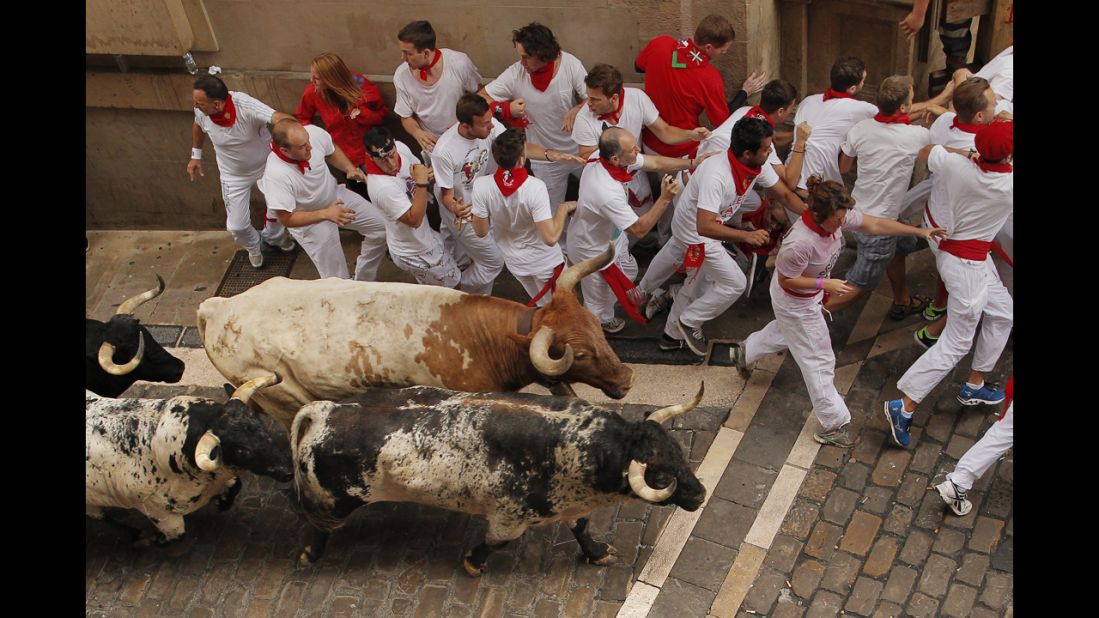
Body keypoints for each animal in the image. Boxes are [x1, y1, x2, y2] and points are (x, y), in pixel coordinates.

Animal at [85, 373, 292, 541]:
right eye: (242, 450)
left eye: (261, 427)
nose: (287, 471)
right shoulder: (159, 514)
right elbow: (175, 536)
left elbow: (235, 486)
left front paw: (222, 502)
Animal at [200, 241, 637, 428]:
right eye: (580, 354)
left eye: (598, 330)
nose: (627, 378)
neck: (481, 339)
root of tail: (218, 308)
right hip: (284, 396)